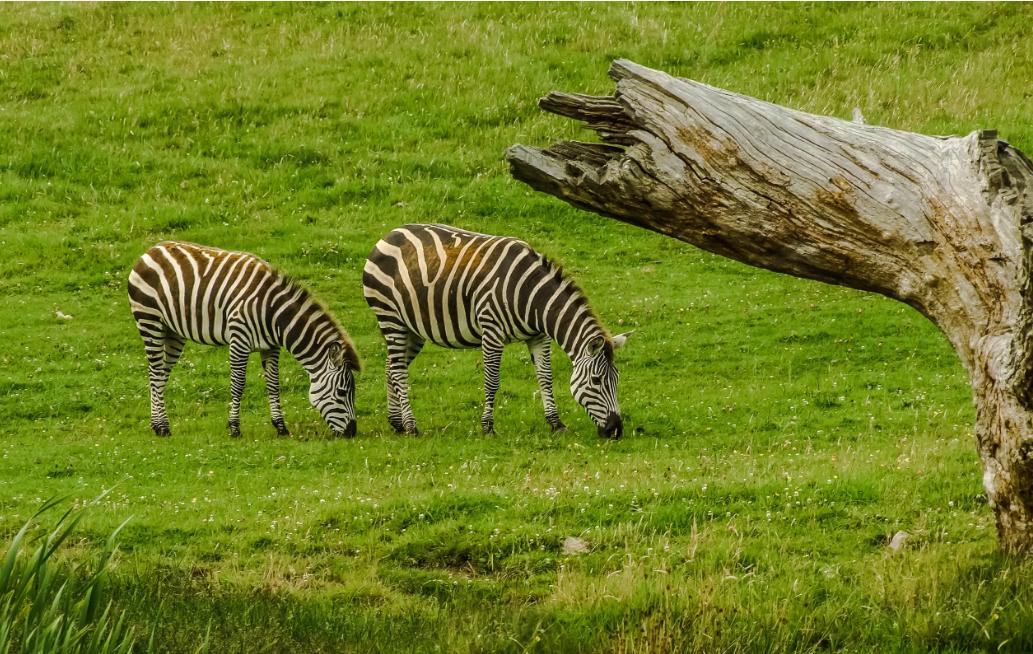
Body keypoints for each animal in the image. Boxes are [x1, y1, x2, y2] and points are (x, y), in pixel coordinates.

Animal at [127, 240, 361, 438]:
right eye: (342, 392)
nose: (352, 432)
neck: (273, 313)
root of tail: (151, 250)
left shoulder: (271, 347)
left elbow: (273, 384)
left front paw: (280, 427)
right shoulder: (239, 341)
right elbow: (238, 384)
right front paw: (234, 428)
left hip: (173, 333)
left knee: (160, 375)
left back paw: (156, 424)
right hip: (149, 321)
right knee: (155, 373)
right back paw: (163, 427)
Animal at [363, 223, 628, 438]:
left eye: (617, 379)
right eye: (596, 381)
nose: (616, 430)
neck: (533, 297)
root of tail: (389, 234)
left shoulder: (539, 336)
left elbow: (545, 378)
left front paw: (556, 424)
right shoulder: (492, 330)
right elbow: (492, 381)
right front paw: (487, 427)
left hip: (413, 328)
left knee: (390, 366)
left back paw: (396, 423)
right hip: (391, 318)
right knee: (398, 371)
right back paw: (411, 426)